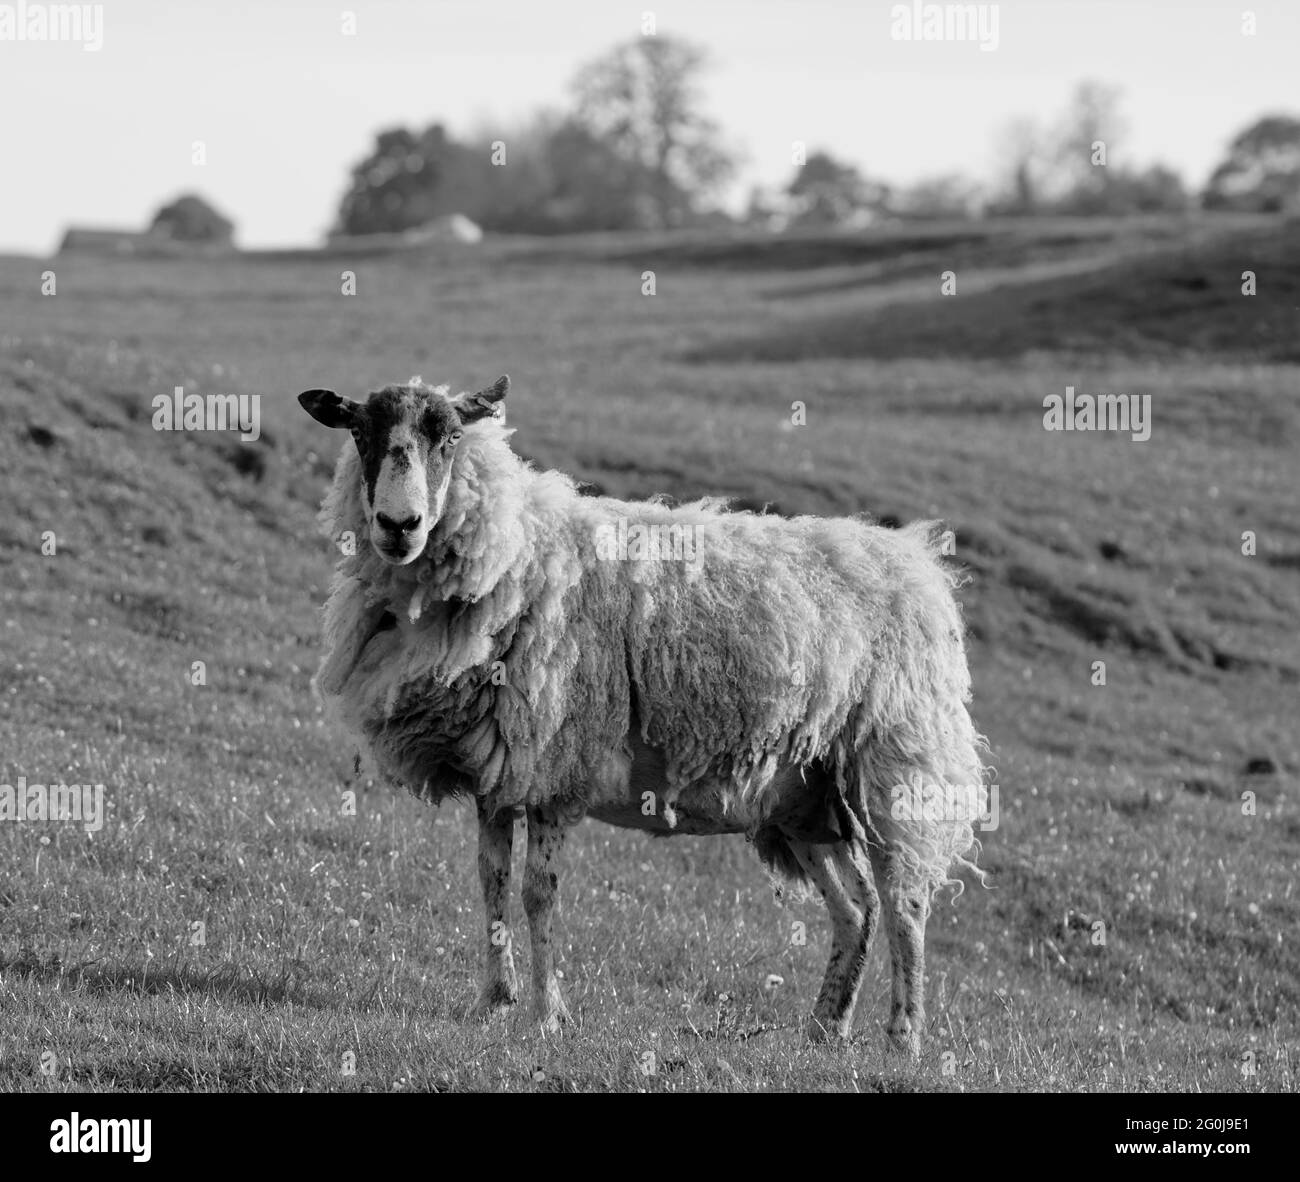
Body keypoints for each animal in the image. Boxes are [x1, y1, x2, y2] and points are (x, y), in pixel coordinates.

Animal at [297, 374, 982, 1045]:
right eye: (359, 432)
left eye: (451, 437)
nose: (399, 524)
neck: (518, 559)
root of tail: (915, 559)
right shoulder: (498, 770)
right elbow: (491, 882)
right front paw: (495, 1000)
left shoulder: (555, 766)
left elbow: (537, 893)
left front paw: (547, 1014)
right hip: (805, 794)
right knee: (857, 906)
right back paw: (825, 1030)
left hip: (897, 765)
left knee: (905, 903)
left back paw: (903, 1037)